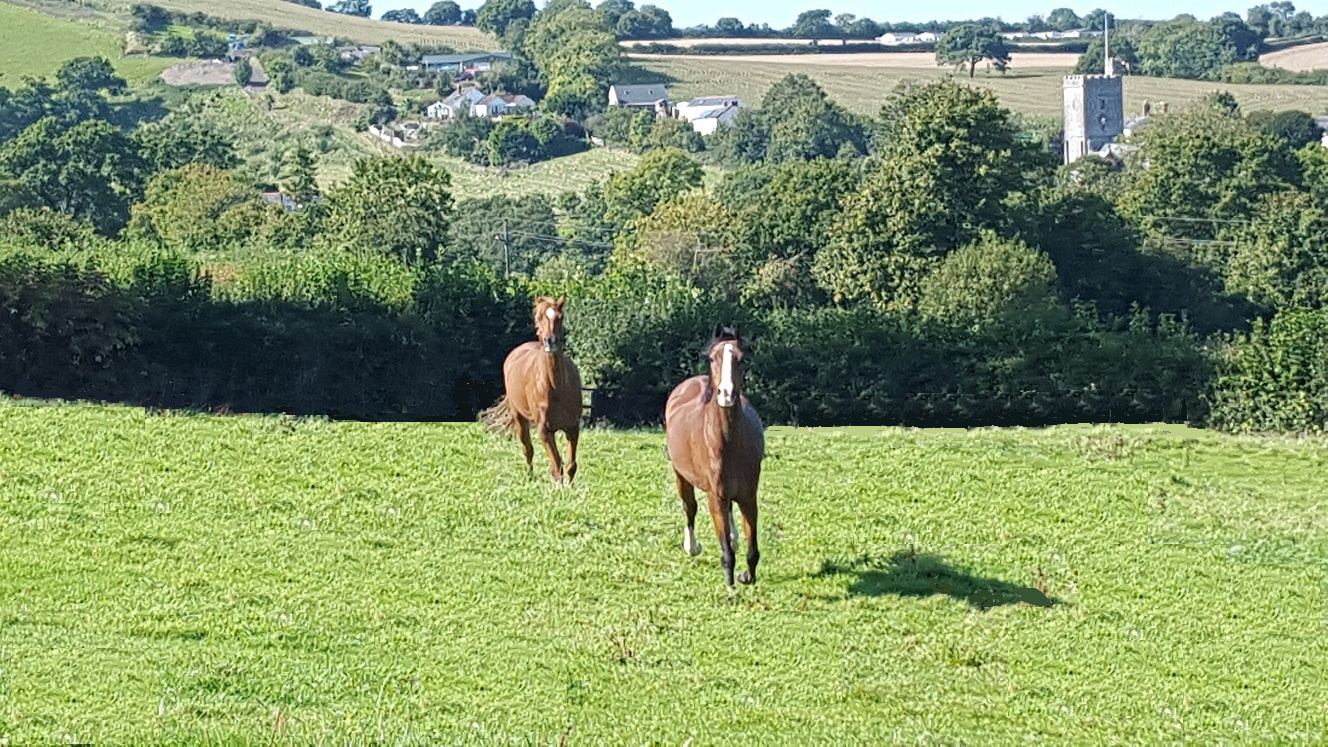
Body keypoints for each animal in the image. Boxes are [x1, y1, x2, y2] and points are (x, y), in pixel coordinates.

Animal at [501, 296, 583, 485]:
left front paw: (571, 488)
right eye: (538, 318)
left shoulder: (573, 428)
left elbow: (570, 465)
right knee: (527, 449)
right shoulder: (545, 431)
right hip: (519, 417)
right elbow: (556, 465)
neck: (557, 387)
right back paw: (529, 477)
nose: (550, 341)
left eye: (560, 317)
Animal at [665, 325, 765, 587]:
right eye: (712, 358)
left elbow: (752, 548)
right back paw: (691, 547)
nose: (726, 394)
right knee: (689, 507)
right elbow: (726, 551)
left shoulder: (749, 496)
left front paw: (747, 576)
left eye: (742, 359)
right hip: (681, 475)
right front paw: (730, 584)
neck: (728, 443)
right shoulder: (715, 497)